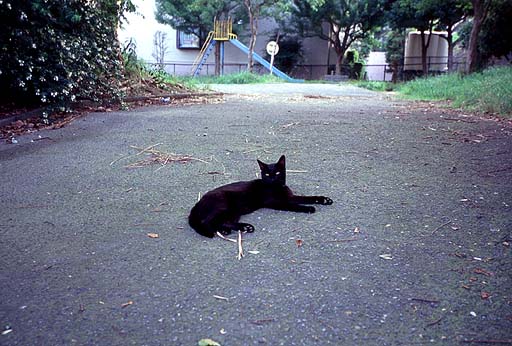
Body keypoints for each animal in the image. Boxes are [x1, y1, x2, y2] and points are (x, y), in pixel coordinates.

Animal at [188, 156, 332, 238]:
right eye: (267, 174)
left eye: (278, 172)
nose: (273, 178)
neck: (277, 188)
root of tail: (198, 203)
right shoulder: (277, 202)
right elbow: (295, 206)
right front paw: (308, 208)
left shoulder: (289, 197)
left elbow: (307, 197)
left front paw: (324, 199)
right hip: (223, 206)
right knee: (207, 221)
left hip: (233, 212)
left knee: (223, 222)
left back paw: (236, 229)